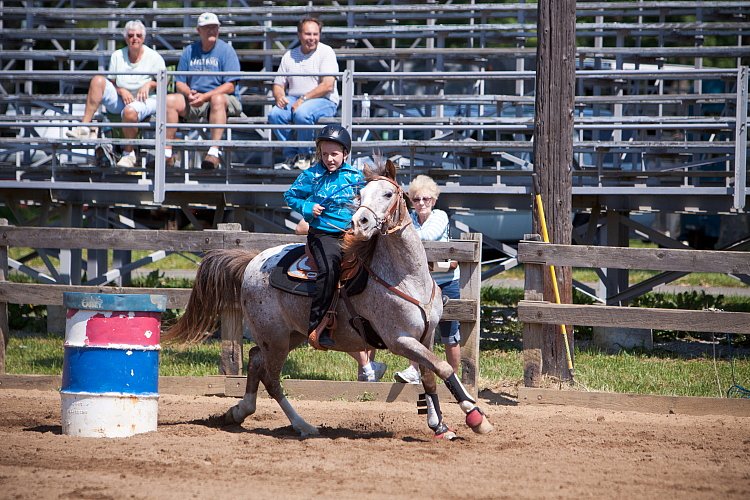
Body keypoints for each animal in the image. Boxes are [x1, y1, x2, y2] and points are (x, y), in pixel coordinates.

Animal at [164, 159, 494, 438]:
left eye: (388, 193)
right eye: (360, 194)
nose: (360, 222)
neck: (408, 278)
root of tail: (252, 261)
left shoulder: (425, 337)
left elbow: (429, 375)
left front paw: (441, 426)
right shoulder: (399, 340)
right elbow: (444, 368)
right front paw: (475, 416)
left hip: (290, 335)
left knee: (257, 360)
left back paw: (239, 411)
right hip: (277, 338)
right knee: (271, 378)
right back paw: (303, 425)